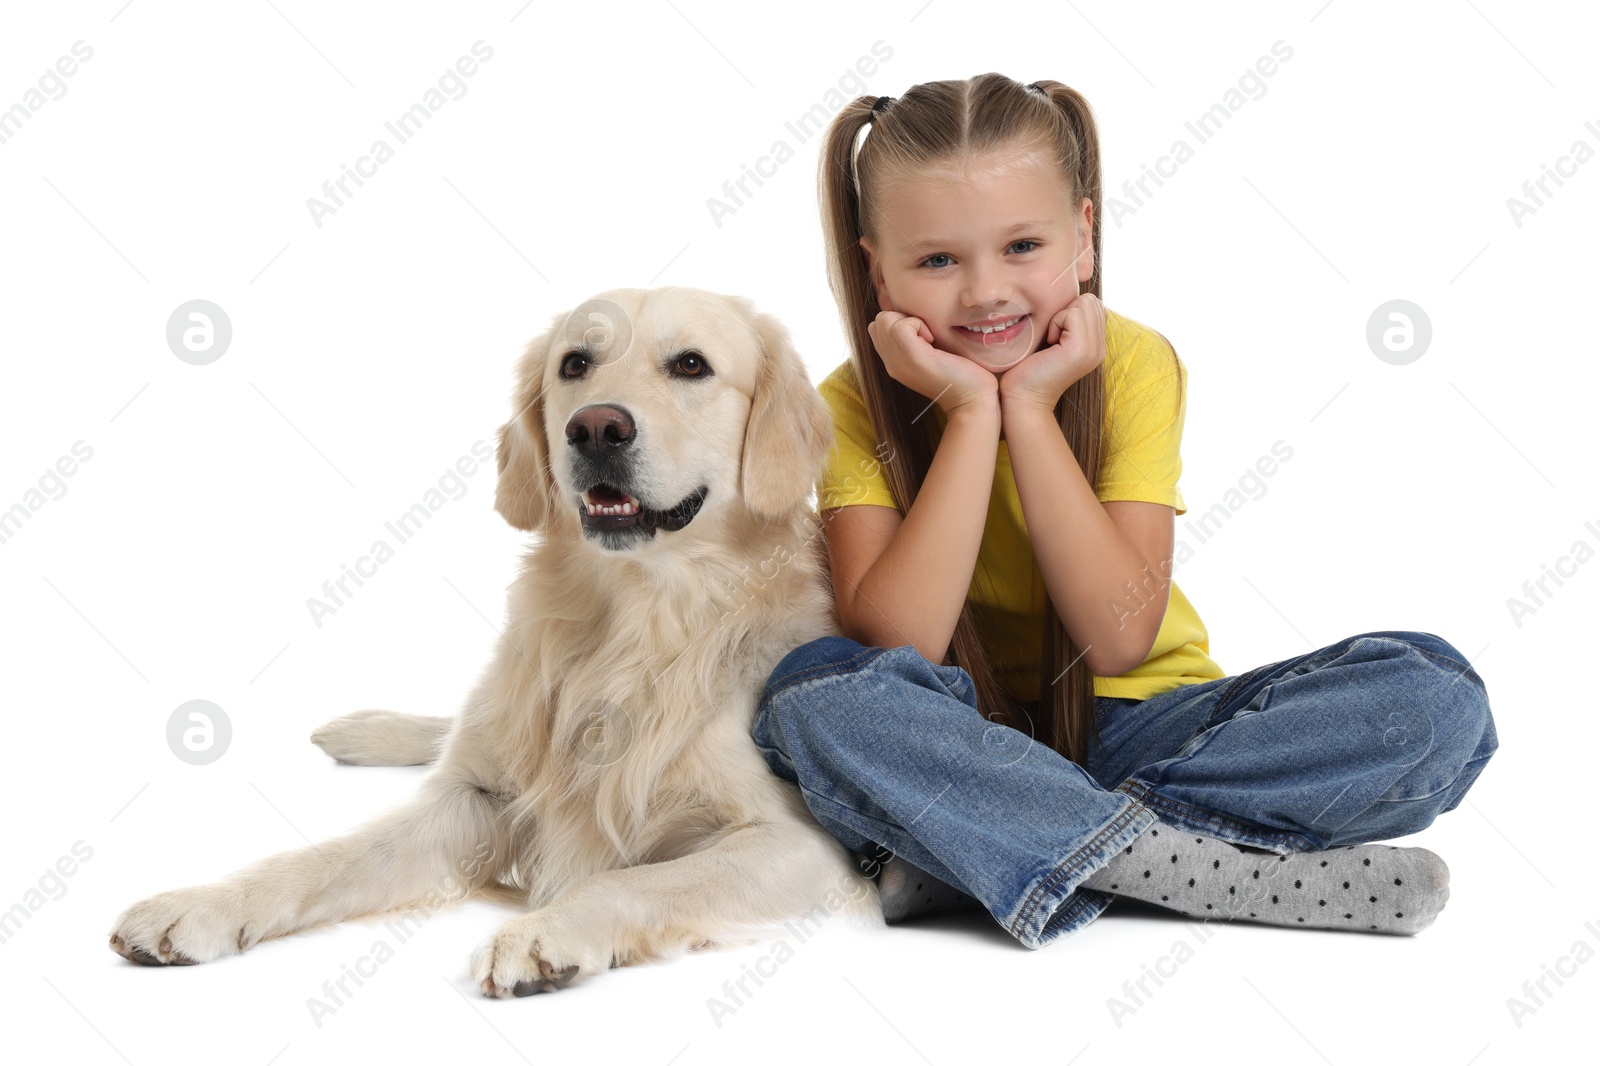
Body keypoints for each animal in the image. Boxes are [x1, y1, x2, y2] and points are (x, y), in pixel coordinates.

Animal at [106, 286, 883, 992]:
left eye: (691, 365)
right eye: (575, 363)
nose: (595, 428)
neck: (631, 620)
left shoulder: (802, 842)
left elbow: (637, 881)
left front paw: (546, 930)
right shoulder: (473, 798)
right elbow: (327, 857)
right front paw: (202, 904)